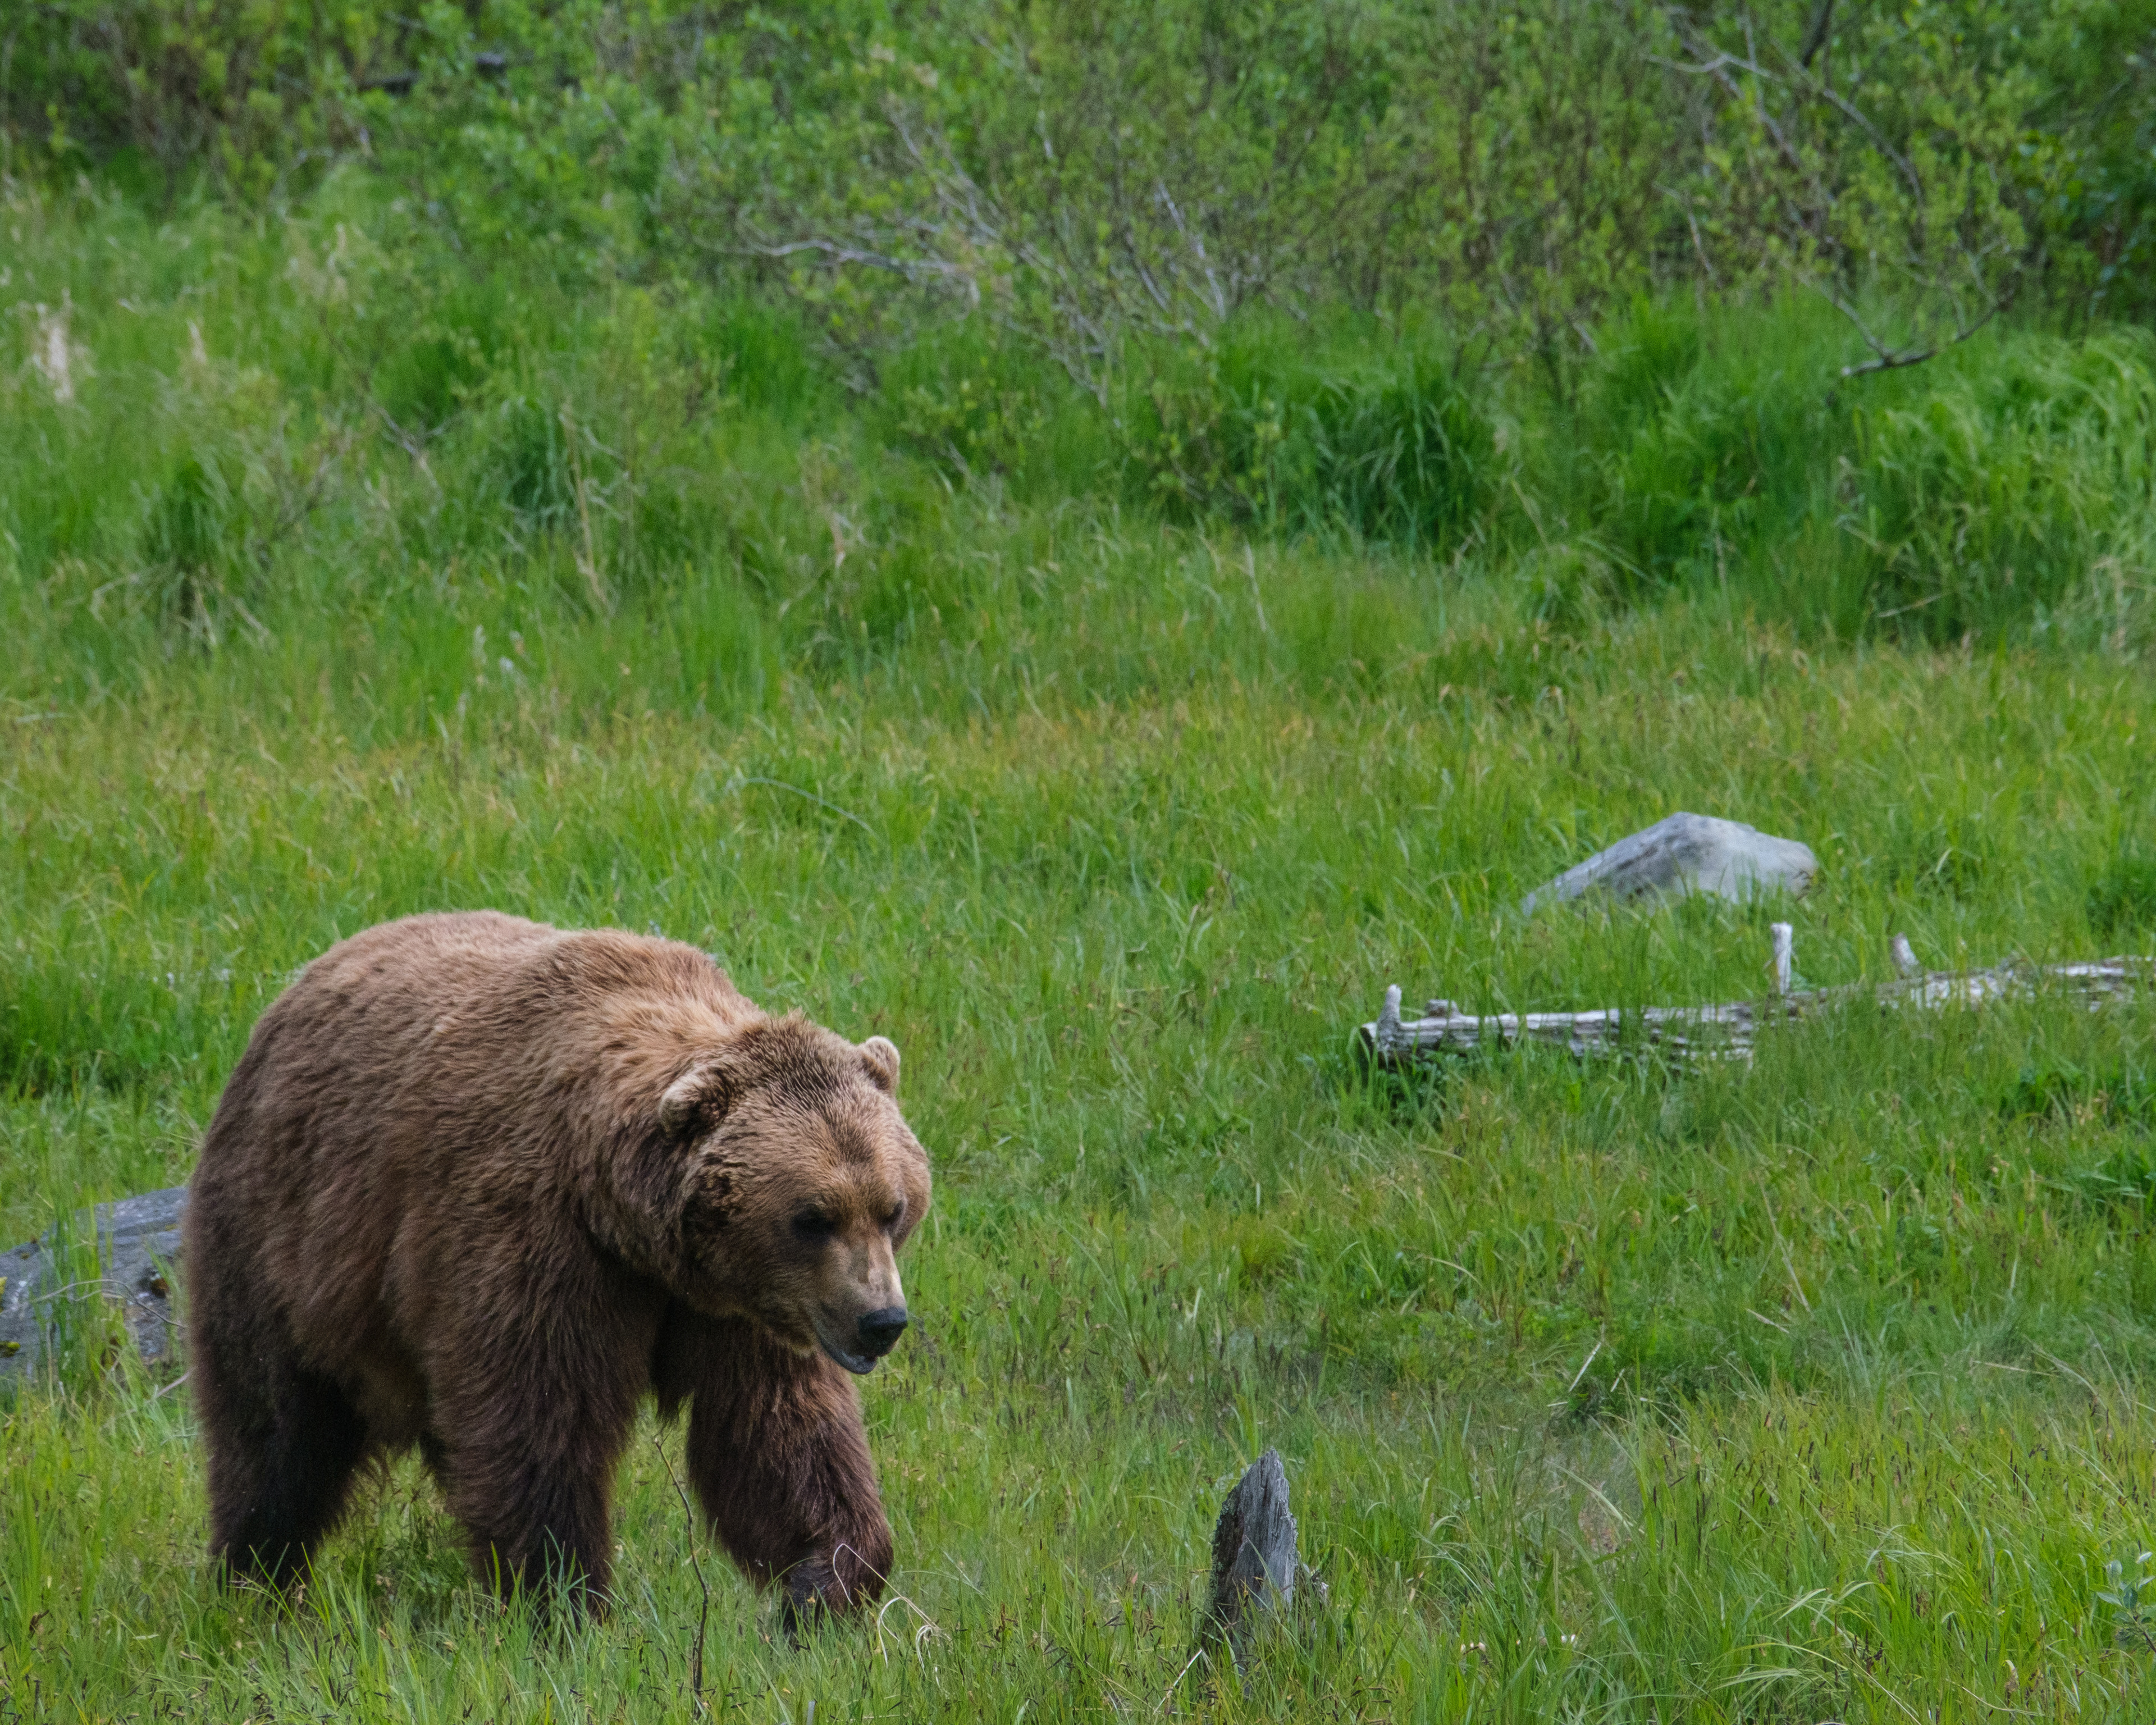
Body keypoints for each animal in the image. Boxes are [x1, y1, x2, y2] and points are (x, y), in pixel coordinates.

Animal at [182, 909, 930, 1623]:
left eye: (892, 1208)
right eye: (812, 1217)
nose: (881, 1321)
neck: (631, 1226)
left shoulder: (738, 1307)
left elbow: (775, 1433)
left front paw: (821, 1583)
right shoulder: (534, 1239)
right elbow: (538, 1427)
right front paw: (564, 1602)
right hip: (277, 1240)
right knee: (274, 1430)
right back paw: (253, 1577)